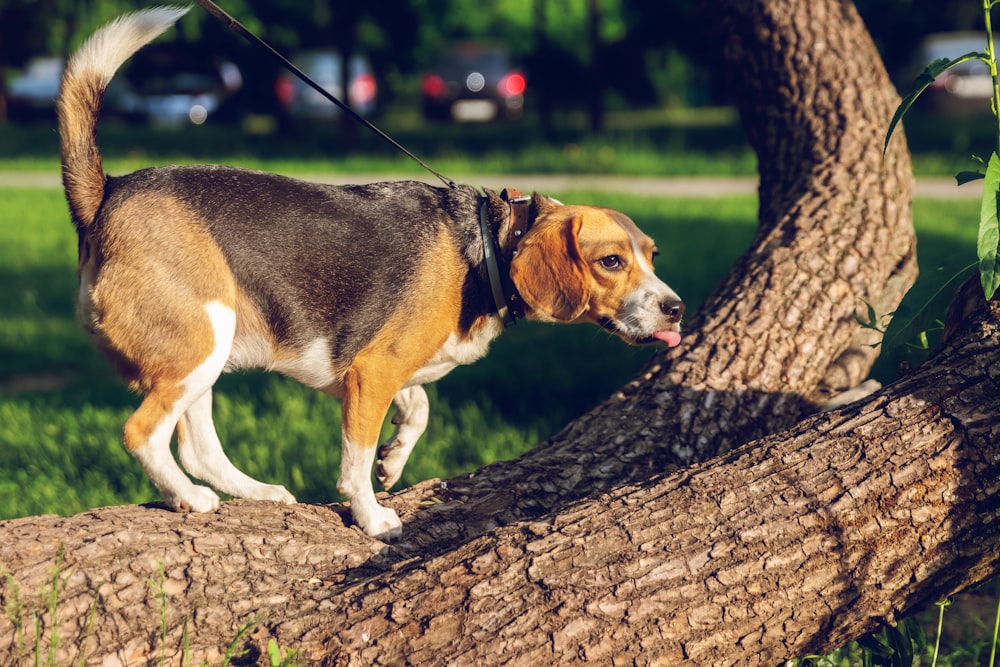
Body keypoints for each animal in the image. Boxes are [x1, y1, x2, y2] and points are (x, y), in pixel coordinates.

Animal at [52, 6, 680, 544]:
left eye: (653, 255)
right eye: (611, 262)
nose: (675, 308)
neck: (487, 244)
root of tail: (106, 194)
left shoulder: (374, 371)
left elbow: (418, 407)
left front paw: (395, 459)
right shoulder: (371, 372)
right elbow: (356, 456)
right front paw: (373, 515)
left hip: (207, 350)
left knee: (197, 447)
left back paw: (253, 492)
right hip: (201, 341)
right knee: (143, 434)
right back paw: (189, 498)